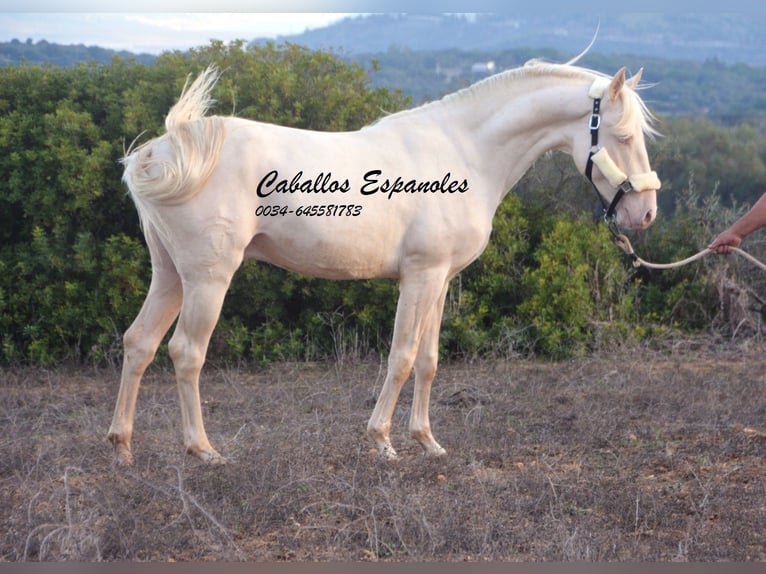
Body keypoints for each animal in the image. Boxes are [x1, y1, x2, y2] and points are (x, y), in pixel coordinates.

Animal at [106, 60, 660, 466]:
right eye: (624, 135)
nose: (646, 213)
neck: (465, 150)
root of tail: (166, 153)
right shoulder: (419, 276)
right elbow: (402, 357)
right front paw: (383, 442)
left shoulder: (440, 280)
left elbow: (430, 361)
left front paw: (428, 442)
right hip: (208, 279)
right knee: (185, 352)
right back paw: (203, 450)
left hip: (170, 276)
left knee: (139, 343)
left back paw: (123, 448)